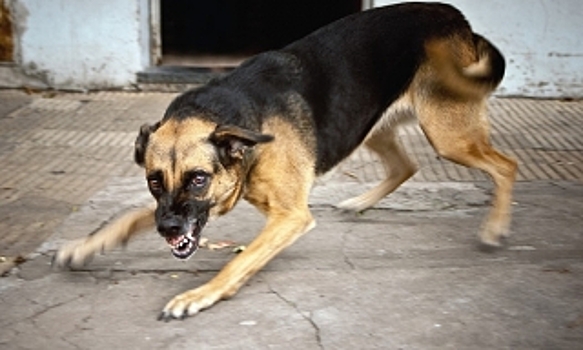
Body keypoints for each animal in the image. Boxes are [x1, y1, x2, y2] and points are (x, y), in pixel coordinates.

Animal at [53, 2, 516, 320]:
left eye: (198, 178)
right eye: (153, 180)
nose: (167, 231)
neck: (243, 130)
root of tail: (456, 16)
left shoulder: (290, 217)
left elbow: (238, 260)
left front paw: (198, 296)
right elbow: (129, 216)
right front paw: (87, 245)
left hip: (449, 137)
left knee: (506, 166)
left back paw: (494, 228)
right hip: (370, 126)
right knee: (406, 166)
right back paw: (359, 203)